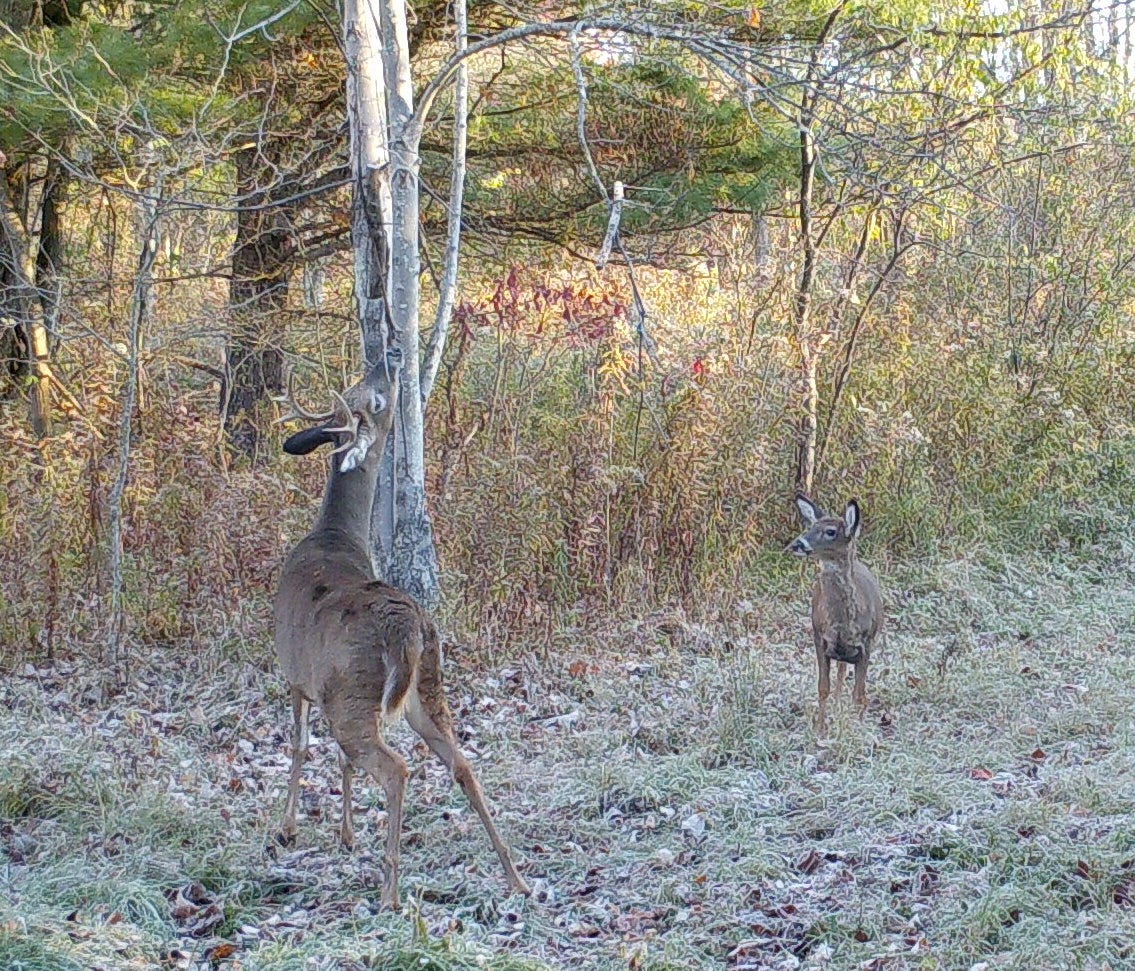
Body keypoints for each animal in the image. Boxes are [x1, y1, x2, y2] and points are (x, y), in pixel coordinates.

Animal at [273, 349, 530, 909]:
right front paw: (346, 834)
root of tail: (407, 627)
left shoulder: (296, 677)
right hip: (426, 685)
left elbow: (301, 746)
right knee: (462, 764)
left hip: (352, 694)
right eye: (369, 394)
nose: (386, 366)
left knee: (395, 769)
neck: (332, 536)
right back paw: (515, 875)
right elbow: (338, 761)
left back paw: (390, 890)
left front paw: (289, 829)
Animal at [786, 493, 884, 736]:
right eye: (810, 526)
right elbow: (823, 688)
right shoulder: (819, 637)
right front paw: (820, 728)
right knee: (839, 677)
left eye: (830, 531)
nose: (796, 544)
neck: (842, 624)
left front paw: (857, 729)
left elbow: (859, 694)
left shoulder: (866, 643)